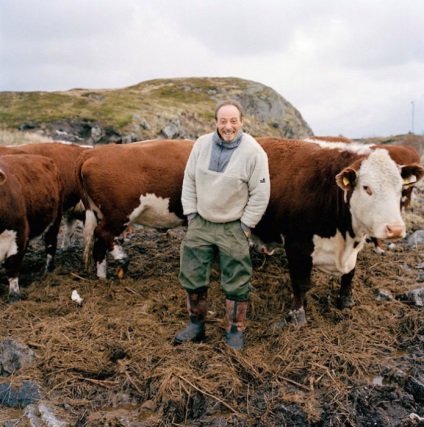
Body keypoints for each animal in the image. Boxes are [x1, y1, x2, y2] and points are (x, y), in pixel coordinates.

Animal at [0, 154, 64, 300]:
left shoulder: (19, 233)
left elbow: (12, 266)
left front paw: (14, 295)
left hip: (55, 218)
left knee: (50, 244)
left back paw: (48, 270)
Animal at [75, 140, 195, 280]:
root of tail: (92, 152)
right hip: (120, 214)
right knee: (103, 233)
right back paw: (122, 260)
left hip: (100, 213)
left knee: (99, 246)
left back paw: (103, 277)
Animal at [255, 139, 424, 326]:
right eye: (366, 187)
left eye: (400, 188)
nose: (395, 229)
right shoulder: (296, 245)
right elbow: (300, 282)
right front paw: (297, 315)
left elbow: (349, 274)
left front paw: (346, 301)